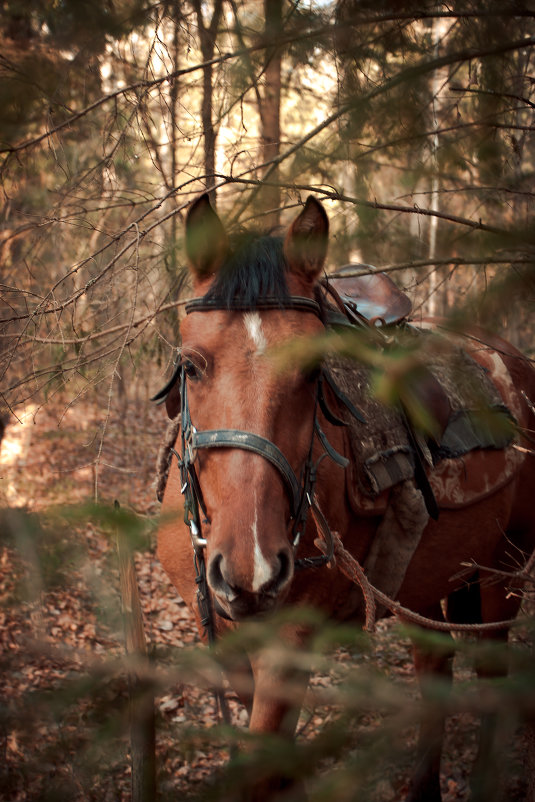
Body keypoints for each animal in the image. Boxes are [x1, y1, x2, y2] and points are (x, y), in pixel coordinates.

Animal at [156, 195, 535, 800]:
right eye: (191, 365)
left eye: (315, 372)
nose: (252, 571)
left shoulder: (288, 648)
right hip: (429, 581)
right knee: (435, 667)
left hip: (506, 567)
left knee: (492, 677)